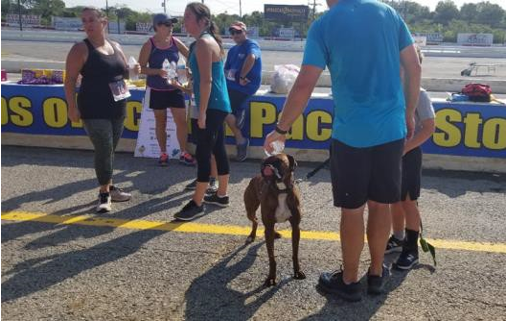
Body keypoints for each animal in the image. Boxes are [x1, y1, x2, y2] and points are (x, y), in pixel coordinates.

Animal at [244, 152, 308, 284]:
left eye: (279, 161)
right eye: (264, 162)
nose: (267, 166)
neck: (281, 190)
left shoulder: (295, 228)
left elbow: (295, 253)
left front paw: (297, 271)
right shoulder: (268, 227)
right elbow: (271, 257)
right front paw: (271, 277)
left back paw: (274, 233)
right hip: (250, 210)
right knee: (255, 221)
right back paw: (252, 236)